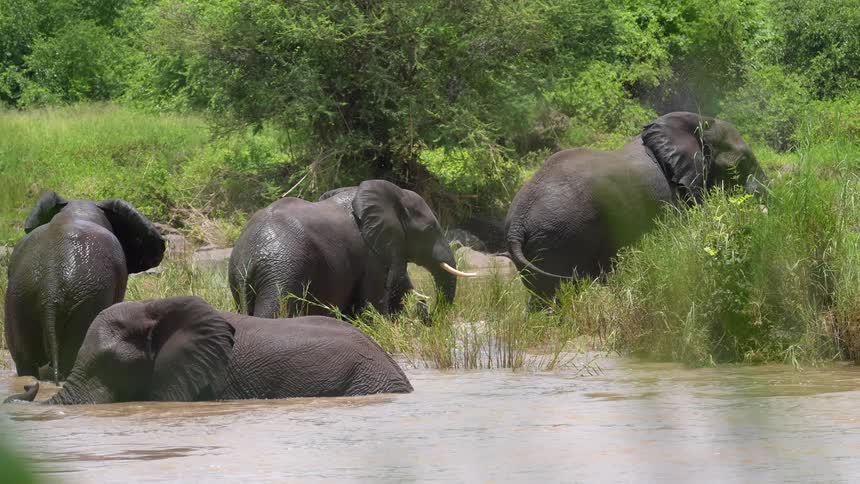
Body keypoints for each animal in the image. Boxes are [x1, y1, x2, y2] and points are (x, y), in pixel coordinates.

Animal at [228, 179, 475, 319]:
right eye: (431, 228)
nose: (429, 312)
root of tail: (248, 257)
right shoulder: (370, 255)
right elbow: (372, 304)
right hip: (282, 271)